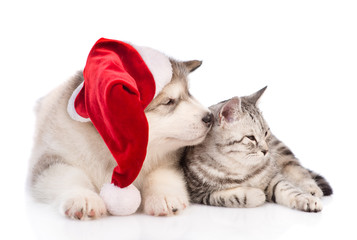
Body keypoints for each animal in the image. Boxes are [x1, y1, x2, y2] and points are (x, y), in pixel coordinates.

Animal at [28, 58, 211, 219]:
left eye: (189, 94)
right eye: (168, 101)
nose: (210, 117)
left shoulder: (171, 161)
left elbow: (161, 174)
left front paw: (164, 196)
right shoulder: (50, 158)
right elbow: (68, 175)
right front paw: (83, 197)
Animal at [181, 86, 330, 212]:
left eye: (265, 133)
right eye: (251, 138)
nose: (266, 151)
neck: (238, 169)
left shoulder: (273, 178)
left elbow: (288, 189)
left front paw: (306, 199)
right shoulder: (200, 193)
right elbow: (233, 197)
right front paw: (256, 193)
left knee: (298, 169)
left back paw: (311, 188)